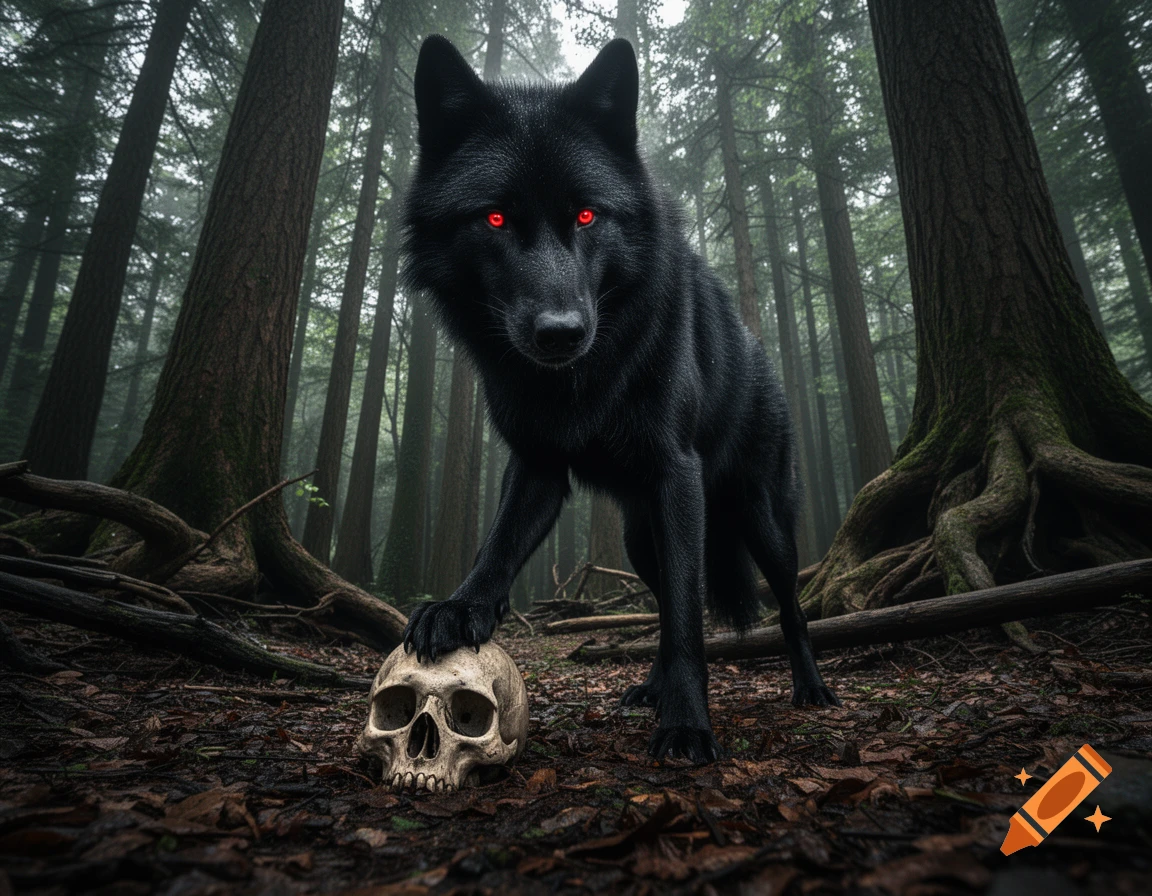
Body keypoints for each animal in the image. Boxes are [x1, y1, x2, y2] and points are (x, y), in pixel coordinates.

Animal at [400, 35, 838, 763]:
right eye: (495, 217)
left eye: (586, 214)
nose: (560, 332)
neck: (580, 383)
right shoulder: (538, 465)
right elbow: (499, 544)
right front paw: (460, 608)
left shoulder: (675, 475)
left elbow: (690, 622)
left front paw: (687, 723)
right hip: (639, 539)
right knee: (663, 600)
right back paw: (650, 688)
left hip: (759, 522)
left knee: (785, 605)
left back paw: (810, 687)